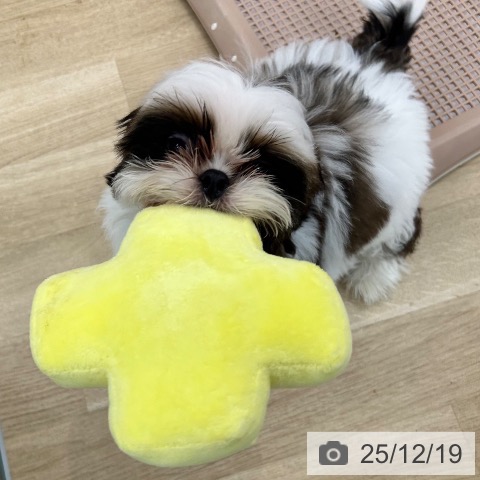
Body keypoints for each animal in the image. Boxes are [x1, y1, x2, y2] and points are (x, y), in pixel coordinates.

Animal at [100, 0, 432, 304]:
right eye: (177, 144)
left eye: (262, 166)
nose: (214, 178)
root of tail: (377, 58)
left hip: (402, 197)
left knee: (401, 232)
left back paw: (374, 277)